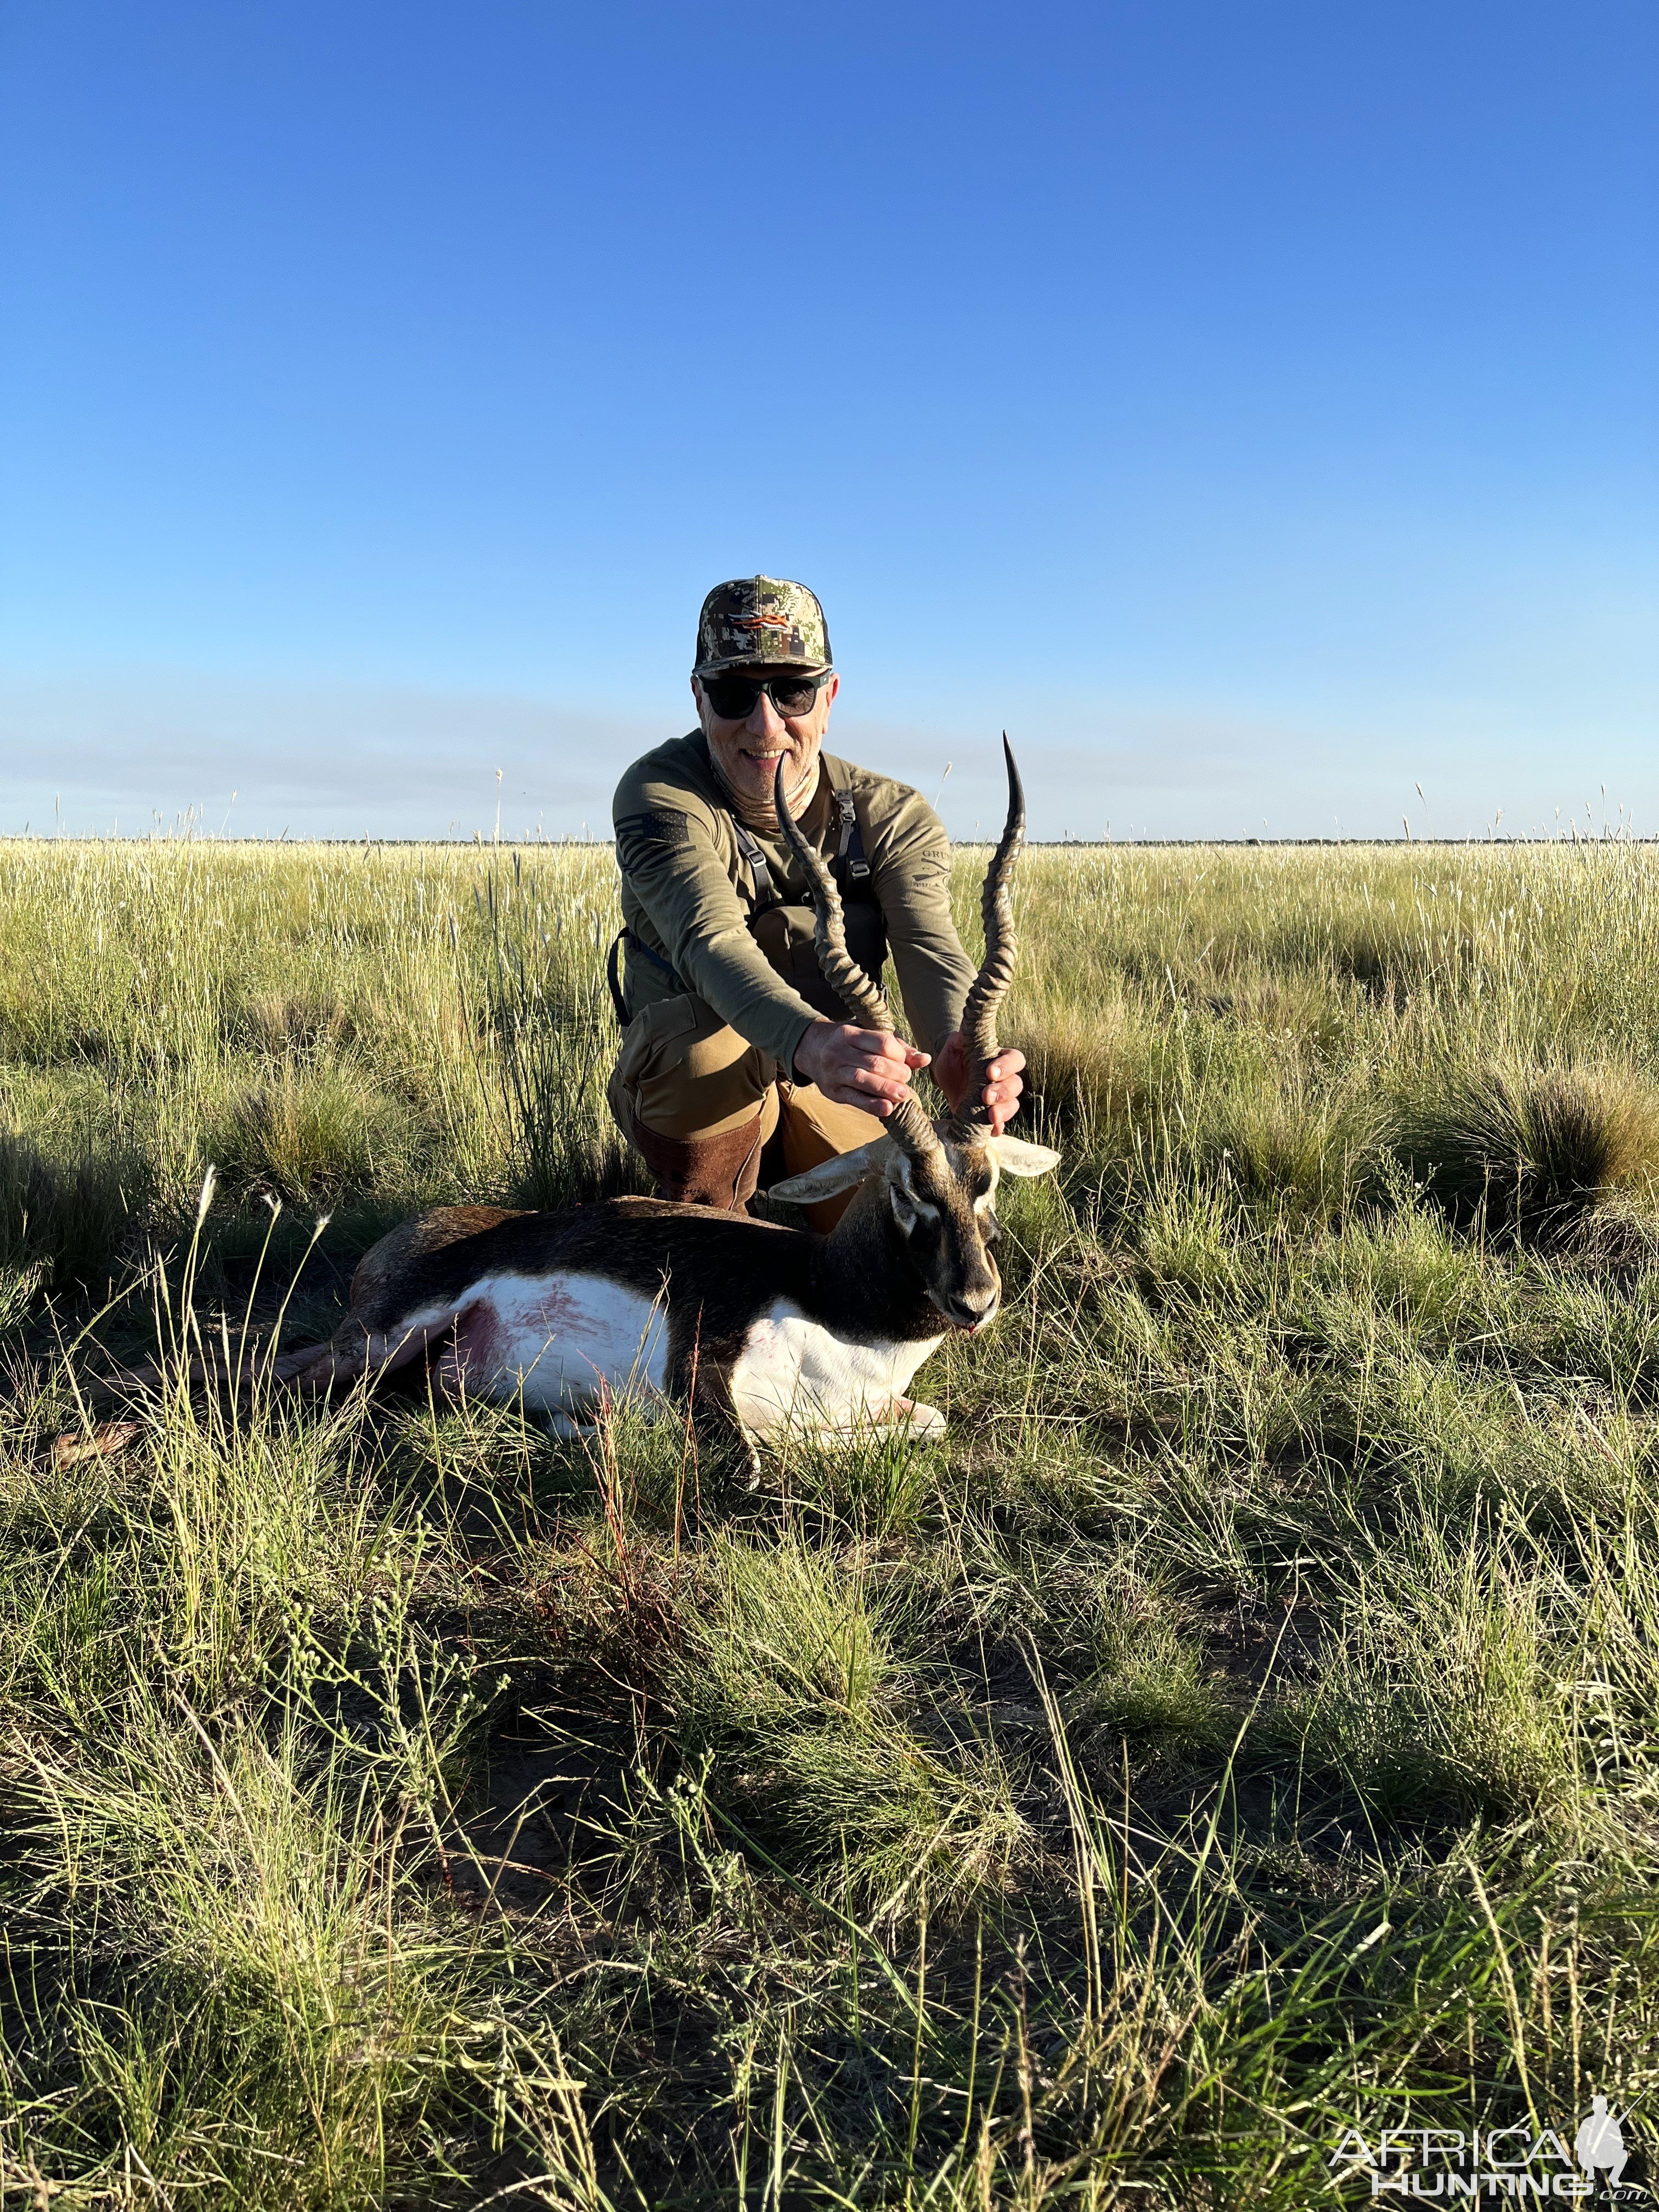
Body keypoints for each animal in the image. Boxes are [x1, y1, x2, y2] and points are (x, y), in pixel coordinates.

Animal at [198, 747, 1066, 1469]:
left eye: (986, 1184)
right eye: (907, 1189)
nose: (976, 1301)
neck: (835, 1306)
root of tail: (412, 1233)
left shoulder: (892, 1409)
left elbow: (924, 1423)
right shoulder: (700, 1372)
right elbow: (753, 1454)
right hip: (379, 1339)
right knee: (267, 1372)